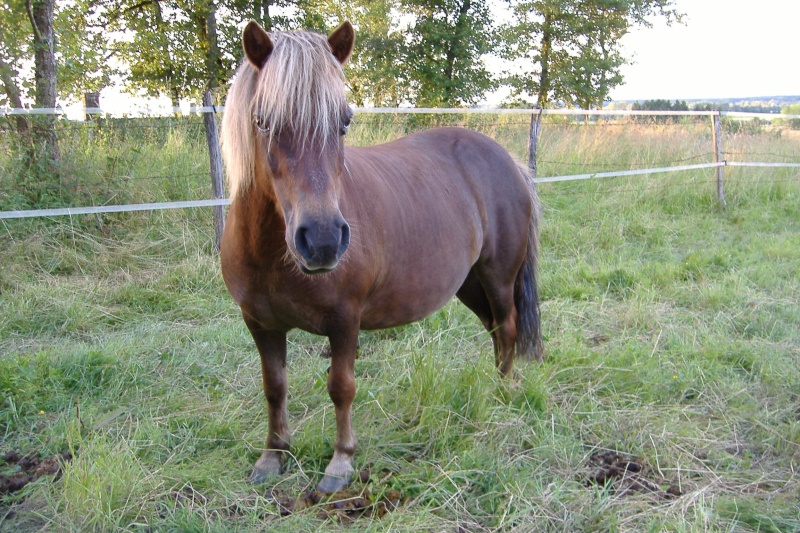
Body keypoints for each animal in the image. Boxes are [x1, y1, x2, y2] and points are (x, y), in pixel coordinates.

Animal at [220, 20, 544, 494]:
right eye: (262, 121)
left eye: (344, 122)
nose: (322, 240)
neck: (270, 253)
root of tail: (507, 160)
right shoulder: (260, 323)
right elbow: (274, 386)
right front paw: (273, 456)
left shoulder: (344, 320)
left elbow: (341, 387)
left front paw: (340, 463)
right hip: (469, 284)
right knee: (495, 331)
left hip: (498, 276)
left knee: (506, 327)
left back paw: (502, 395)